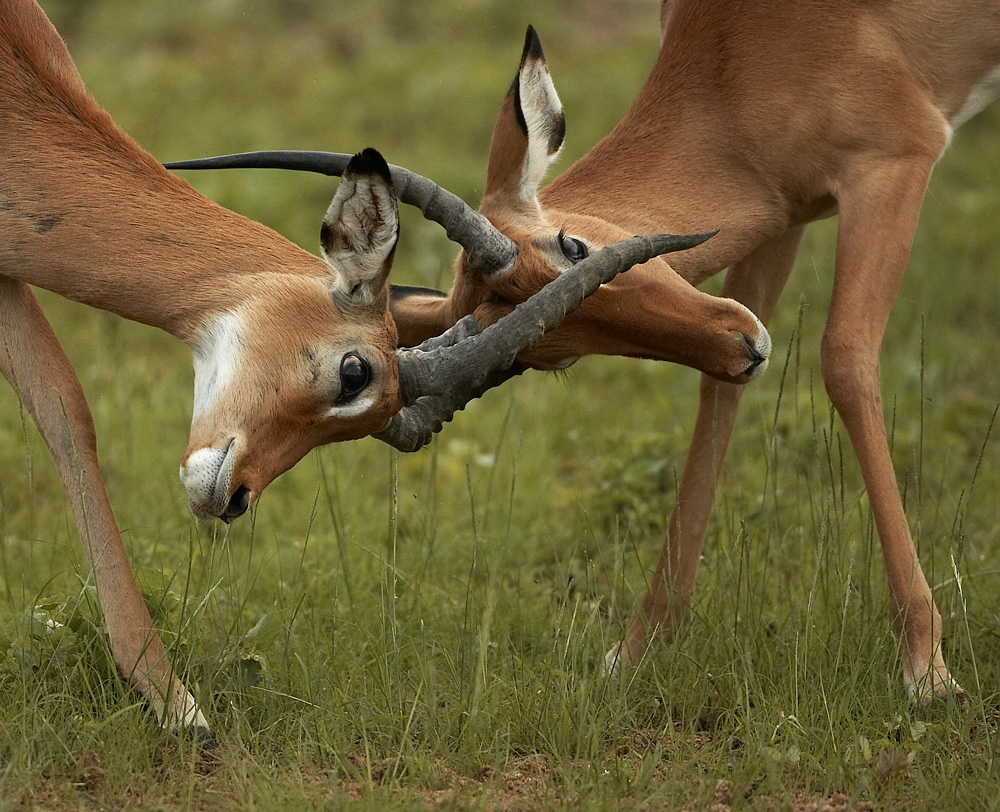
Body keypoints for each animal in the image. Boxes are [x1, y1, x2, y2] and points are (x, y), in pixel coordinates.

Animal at [168, 1, 1000, 703]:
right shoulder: (781, 213)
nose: (743, 346)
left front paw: (928, 672)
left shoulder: (893, 163)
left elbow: (845, 361)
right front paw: (635, 652)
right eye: (554, 355)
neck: (740, 57)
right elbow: (720, 400)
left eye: (573, 245)